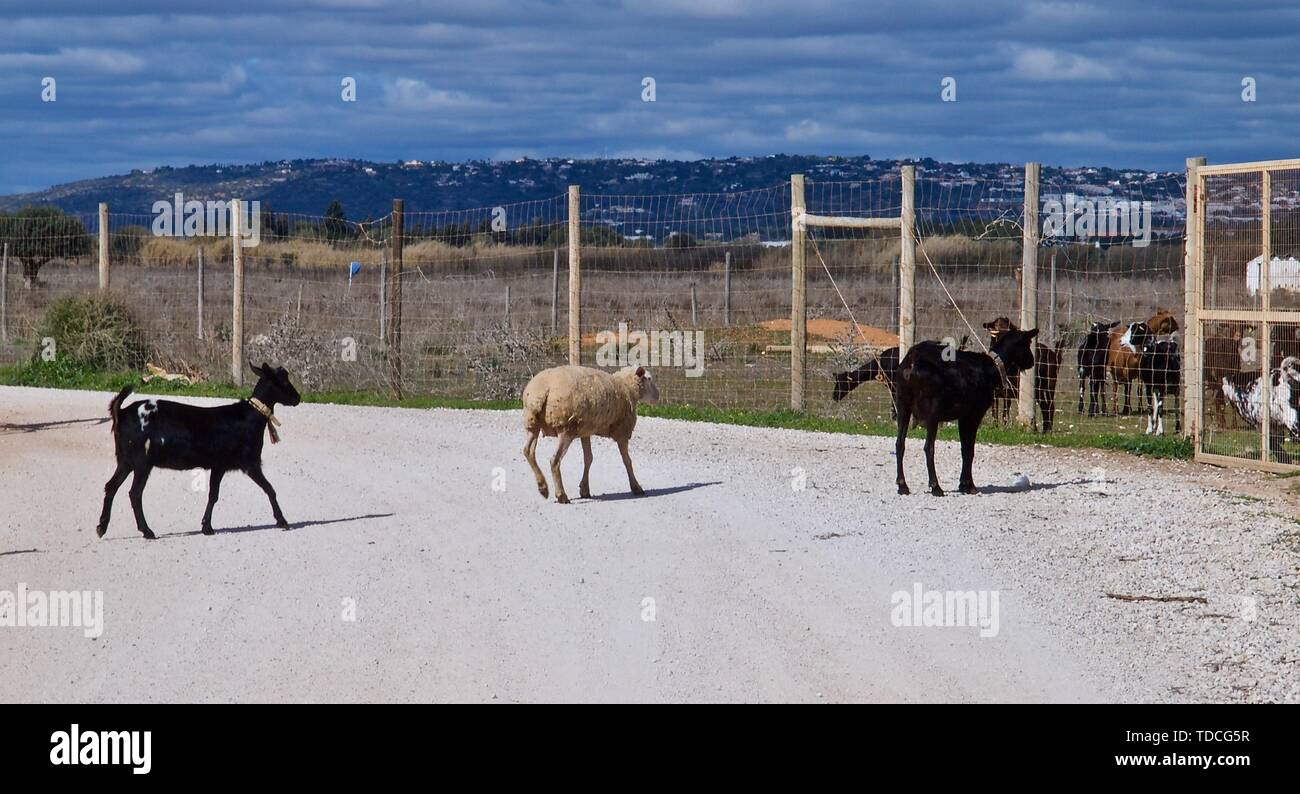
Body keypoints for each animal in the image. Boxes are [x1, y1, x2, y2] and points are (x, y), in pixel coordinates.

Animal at [97, 362, 301, 539]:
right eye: (283, 380)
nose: (297, 398)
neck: (250, 417)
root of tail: (121, 412)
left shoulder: (219, 465)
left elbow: (213, 495)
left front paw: (206, 527)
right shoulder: (249, 463)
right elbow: (270, 489)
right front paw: (282, 521)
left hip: (125, 460)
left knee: (111, 486)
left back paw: (101, 527)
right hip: (142, 461)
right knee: (134, 493)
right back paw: (147, 531)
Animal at [522, 365, 660, 503]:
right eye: (649, 378)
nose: (658, 396)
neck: (627, 388)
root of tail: (540, 391)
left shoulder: (585, 431)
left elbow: (588, 458)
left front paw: (584, 490)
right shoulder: (622, 431)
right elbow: (627, 461)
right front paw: (636, 487)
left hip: (533, 423)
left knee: (528, 451)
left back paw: (543, 487)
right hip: (565, 428)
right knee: (554, 460)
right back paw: (561, 495)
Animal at [895, 327, 1038, 496]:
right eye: (1027, 343)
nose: (1032, 361)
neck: (993, 368)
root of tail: (911, 361)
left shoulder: (963, 417)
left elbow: (964, 449)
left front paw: (963, 484)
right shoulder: (974, 414)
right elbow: (970, 450)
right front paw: (969, 485)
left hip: (903, 404)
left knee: (900, 444)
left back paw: (902, 485)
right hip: (932, 411)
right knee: (928, 447)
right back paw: (936, 487)